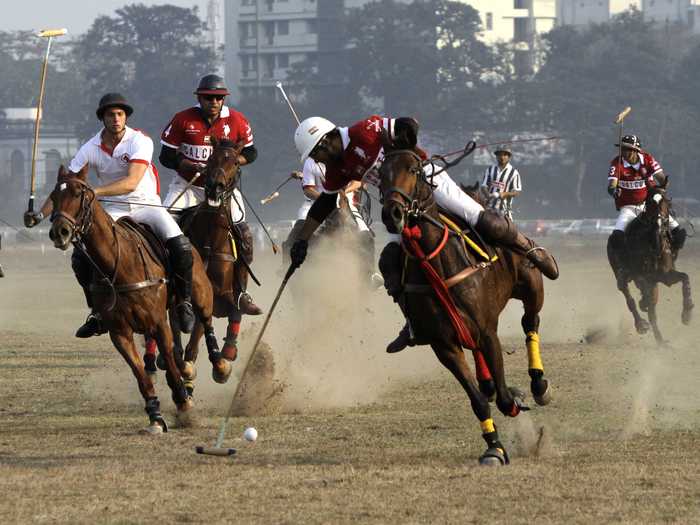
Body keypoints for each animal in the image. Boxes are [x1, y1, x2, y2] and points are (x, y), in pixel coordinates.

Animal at [49, 166, 230, 432]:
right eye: (53, 196)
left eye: (79, 194)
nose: (59, 232)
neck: (119, 264)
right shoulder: (119, 332)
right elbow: (142, 375)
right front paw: (155, 417)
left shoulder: (158, 323)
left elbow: (171, 366)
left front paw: (185, 406)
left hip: (201, 292)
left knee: (204, 323)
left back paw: (219, 365)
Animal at [378, 142, 552, 462]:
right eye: (381, 173)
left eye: (414, 169)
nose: (392, 213)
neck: (436, 260)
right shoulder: (443, 345)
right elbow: (478, 400)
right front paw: (494, 448)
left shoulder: (488, 331)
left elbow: (504, 396)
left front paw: (515, 397)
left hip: (532, 288)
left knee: (530, 322)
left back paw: (538, 383)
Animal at [608, 188, 696, 344]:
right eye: (649, 202)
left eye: (666, 201)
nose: (660, 223)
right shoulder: (642, 276)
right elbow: (644, 299)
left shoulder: (665, 275)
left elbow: (685, 278)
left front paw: (687, 314)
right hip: (622, 275)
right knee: (629, 298)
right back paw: (641, 325)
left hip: (654, 283)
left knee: (651, 307)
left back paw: (660, 340)